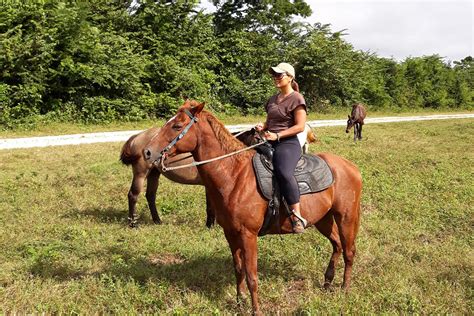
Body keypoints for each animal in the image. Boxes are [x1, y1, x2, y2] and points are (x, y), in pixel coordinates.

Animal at [120, 124, 316, 226]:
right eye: (257, 139)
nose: (271, 152)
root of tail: (137, 137)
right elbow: (211, 207)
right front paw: (210, 224)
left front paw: (211, 223)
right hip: (141, 172)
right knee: (133, 195)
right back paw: (133, 223)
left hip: (154, 173)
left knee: (150, 196)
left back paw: (157, 220)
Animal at [143, 100, 362, 314]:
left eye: (177, 125)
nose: (147, 152)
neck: (235, 175)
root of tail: (351, 167)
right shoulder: (230, 233)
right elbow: (238, 269)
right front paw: (240, 302)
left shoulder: (248, 235)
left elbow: (251, 276)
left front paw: (255, 310)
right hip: (323, 219)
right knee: (337, 245)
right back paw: (327, 282)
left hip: (346, 217)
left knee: (349, 251)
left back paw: (345, 288)